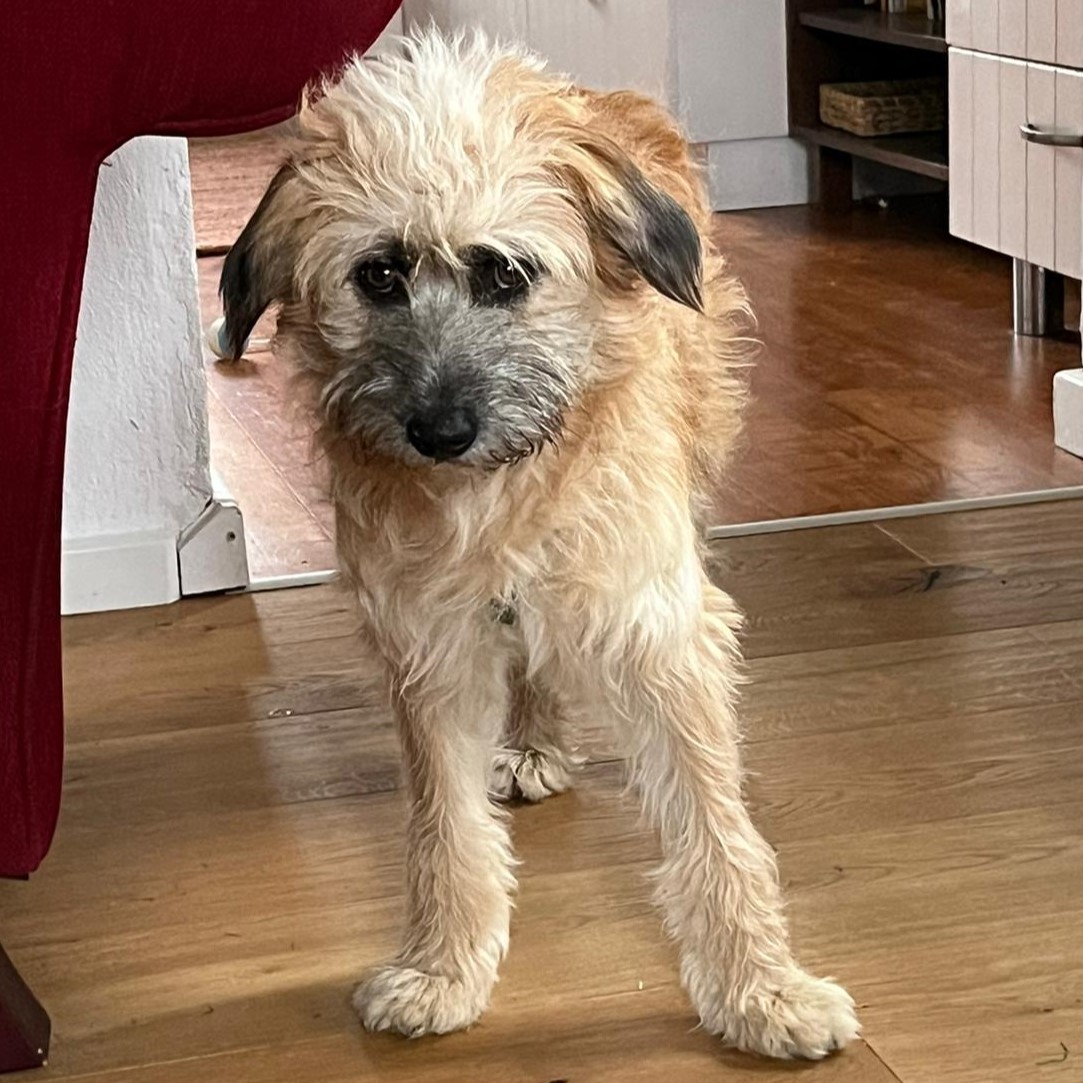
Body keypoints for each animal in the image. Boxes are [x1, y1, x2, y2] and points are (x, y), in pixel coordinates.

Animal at [219, 29, 859, 1060]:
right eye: (380, 275)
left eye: (505, 274)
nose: (440, 431)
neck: (502, 492)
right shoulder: (430, 647)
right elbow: (444, 827)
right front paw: (444, 967)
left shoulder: (659, 632)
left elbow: (714, 828)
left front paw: (762, 990)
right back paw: (529, 737)